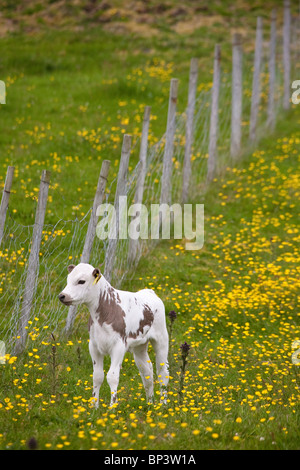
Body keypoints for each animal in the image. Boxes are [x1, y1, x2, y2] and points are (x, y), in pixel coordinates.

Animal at [58, 264, 169, 408]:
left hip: (161, 339)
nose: (62, 296)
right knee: (147, 372)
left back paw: (163, 404)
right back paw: (150, 403)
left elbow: (112, 376)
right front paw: (94, 406)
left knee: (162, 372)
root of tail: (149, 292)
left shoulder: (118, 346)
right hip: (139, 346)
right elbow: (97, 376)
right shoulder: (93, 346)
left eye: (81, 281)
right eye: (68, 279)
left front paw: (112, 407)